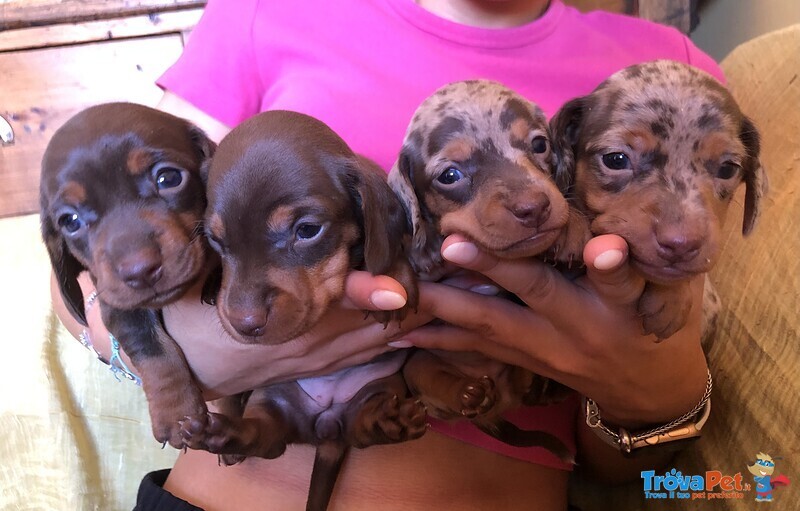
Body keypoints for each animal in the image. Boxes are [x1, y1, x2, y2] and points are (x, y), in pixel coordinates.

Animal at [40, 103, 216, 448]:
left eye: (168, 178)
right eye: (70, 221)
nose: (140, 271)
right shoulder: (118, 304)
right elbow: (153, 348)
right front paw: (177, 413)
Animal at [189, 111, 424, 511]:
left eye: (308, 230)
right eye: (215, 240)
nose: (245, 323)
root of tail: (324, 428)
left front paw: (394, 271)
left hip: (379, 388)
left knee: (364, 427)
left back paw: (390, 423)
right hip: (275, 400)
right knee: (265, 437)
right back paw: (226, 434)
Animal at [388, 81, 576, 464]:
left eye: (540, 144)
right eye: (449, 176)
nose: (534, 208)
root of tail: (497, 404)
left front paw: (569, 232)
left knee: (527, 385)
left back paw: (545, 388)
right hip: (418, 366)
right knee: (440, 384)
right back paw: (469, 393)